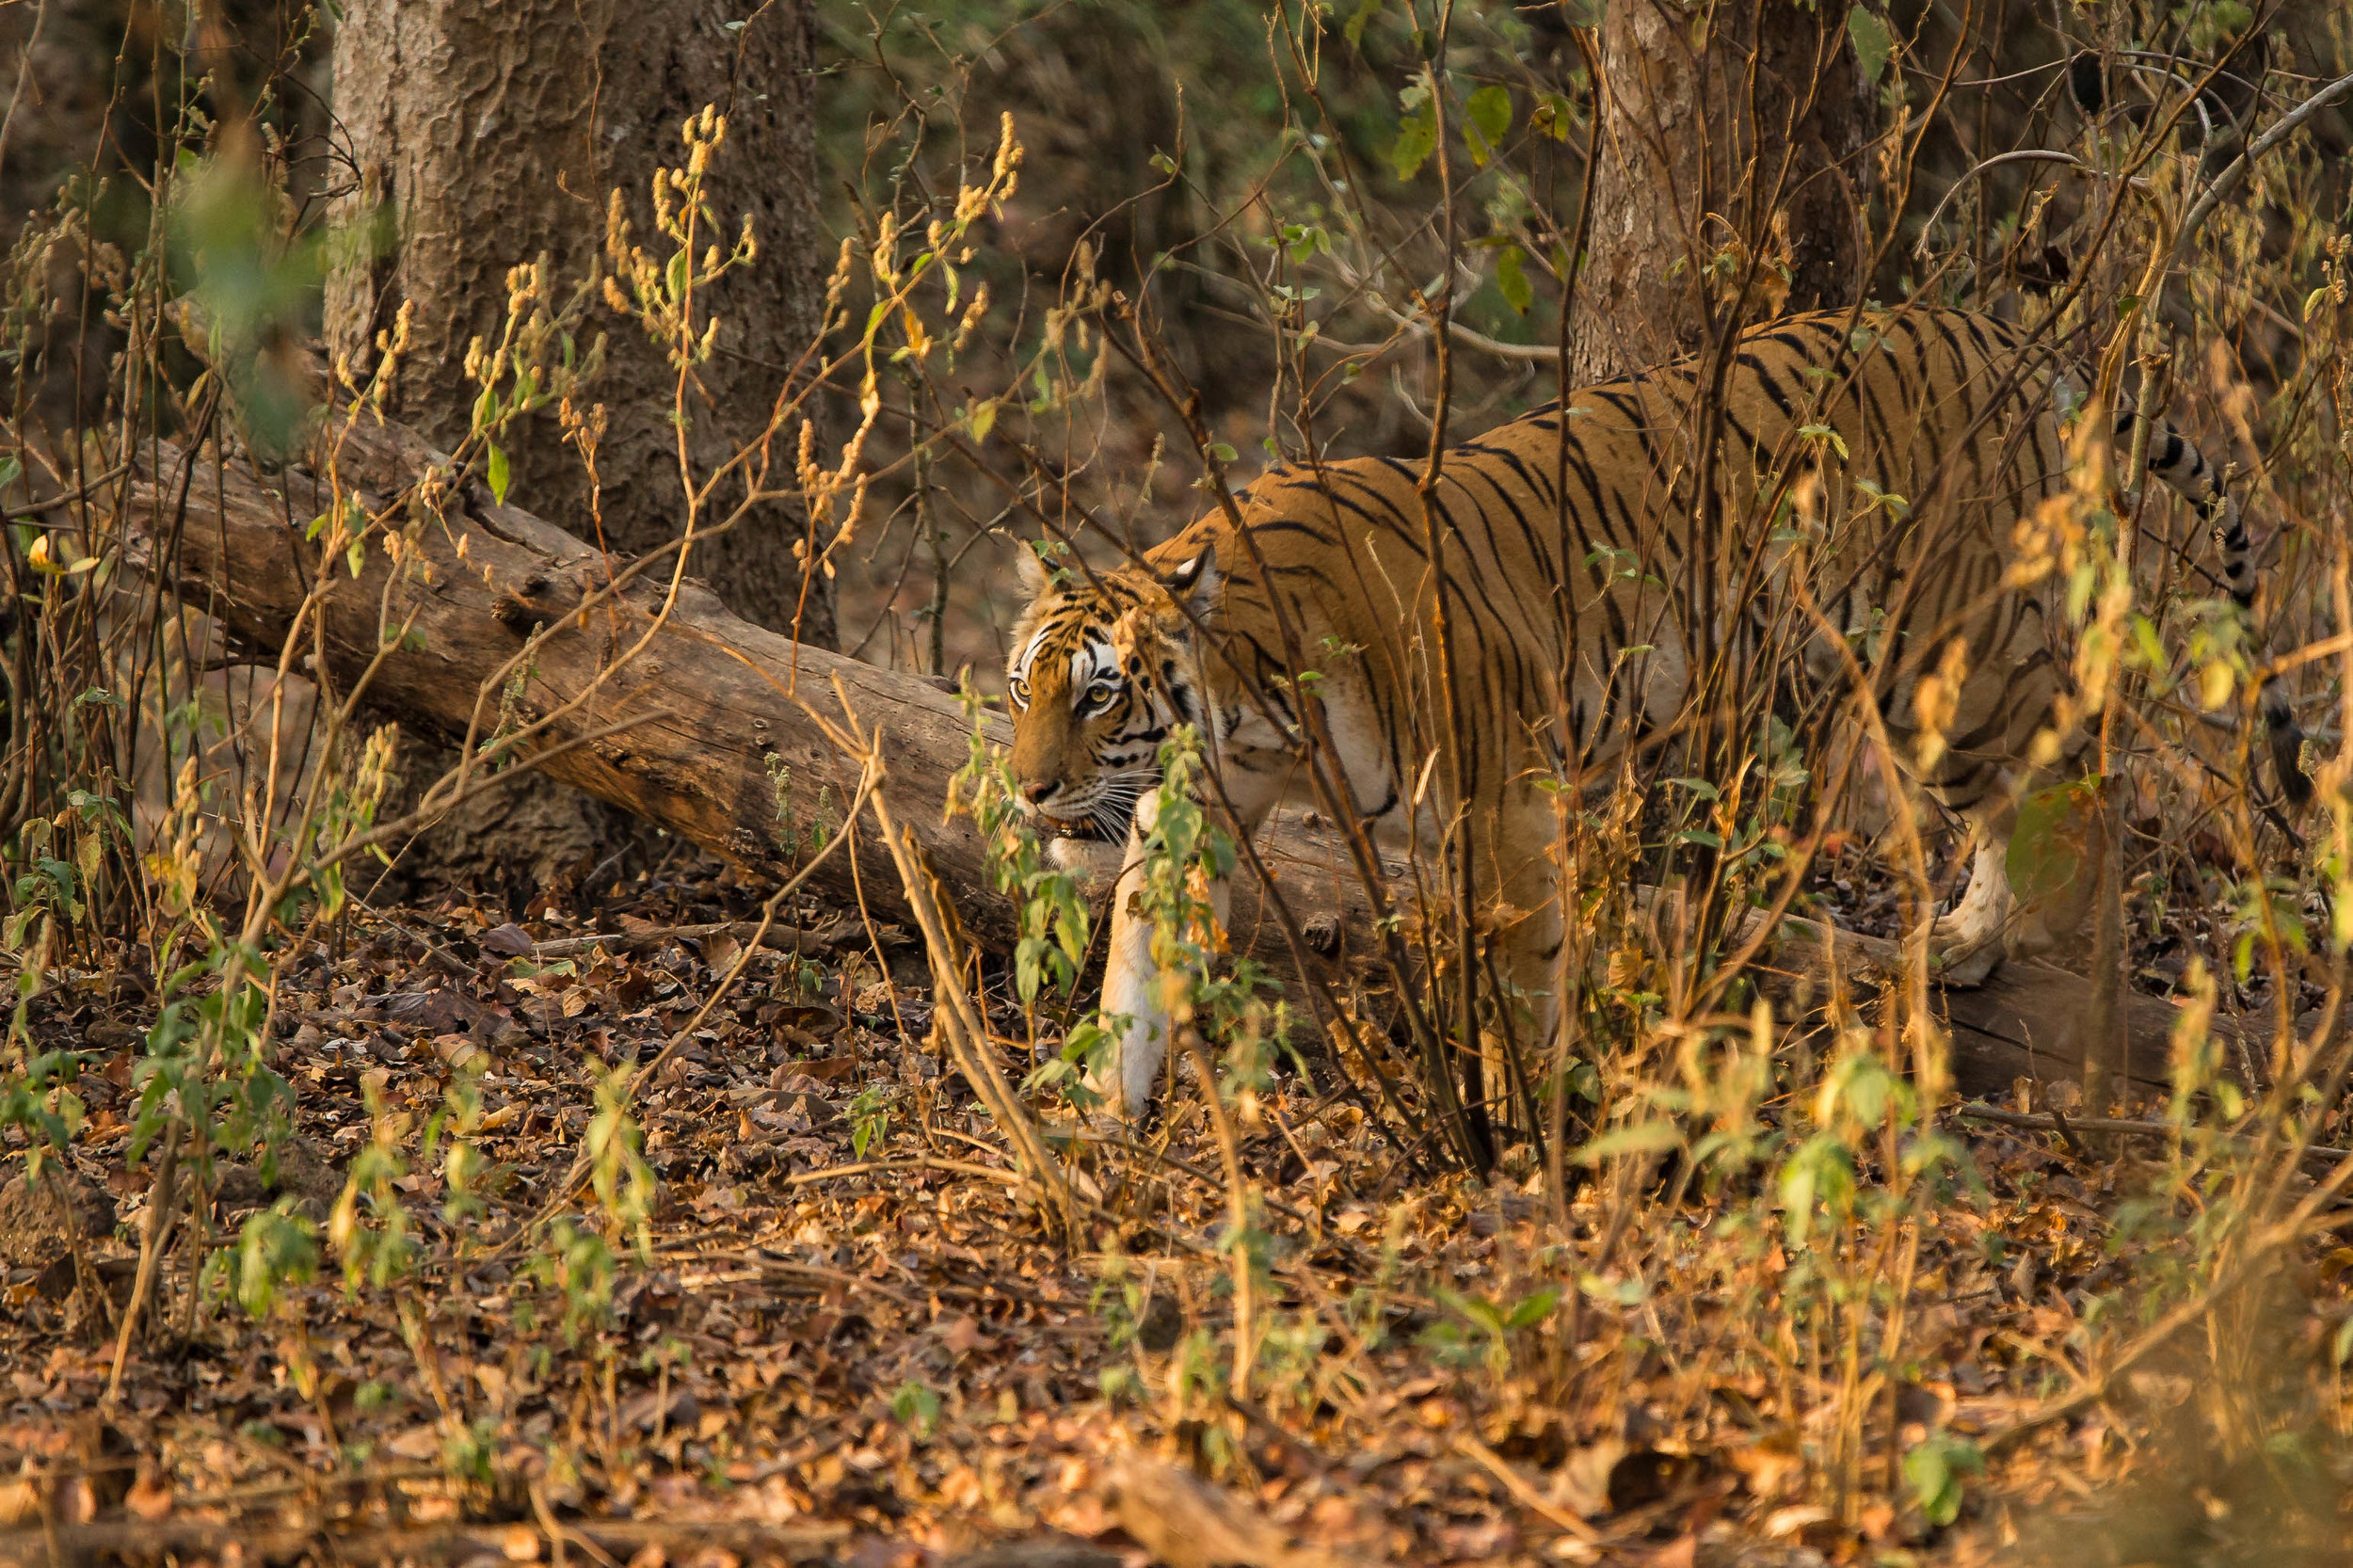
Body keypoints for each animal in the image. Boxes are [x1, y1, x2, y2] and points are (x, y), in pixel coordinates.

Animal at [1002, 301, 2306, 1111]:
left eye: (1100, 697)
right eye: (1024, 689)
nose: (1025, 788)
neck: (1246, 700)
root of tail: (2006, 336)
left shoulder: (1502, 800)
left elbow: (1524, 976)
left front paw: (1522, 1128)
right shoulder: (1201, 804)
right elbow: (1136, 960)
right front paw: (1094, 1113)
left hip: (1955, 653)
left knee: (2081, 780)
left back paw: (2018, 961)